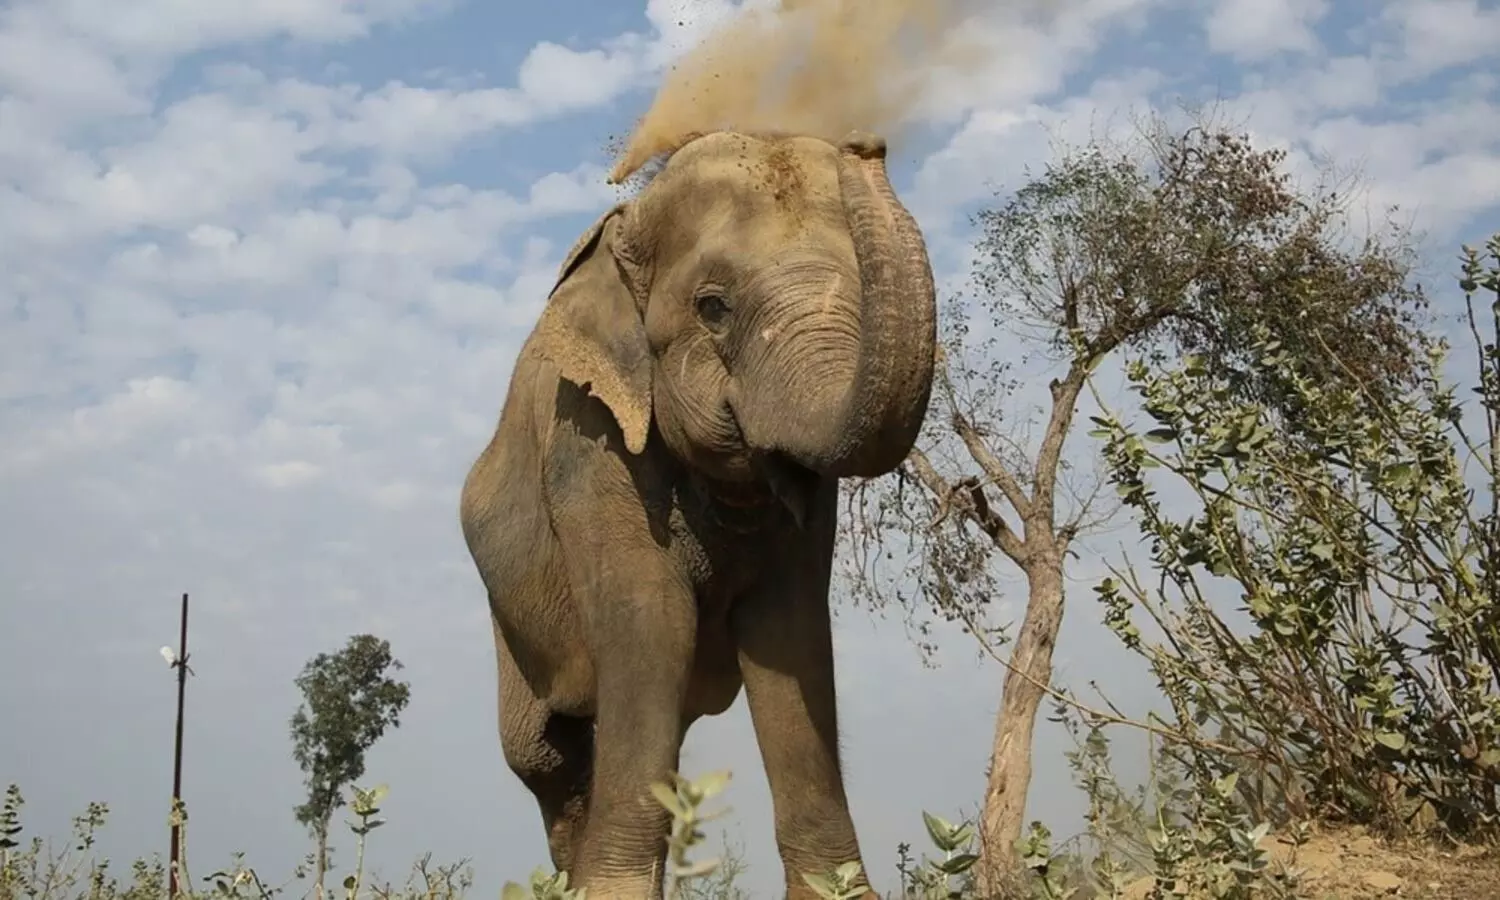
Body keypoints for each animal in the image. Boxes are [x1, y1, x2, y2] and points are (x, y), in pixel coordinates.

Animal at [458, 128, 937, 899]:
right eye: (714, 307)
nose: (868, 144)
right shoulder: (589, 441)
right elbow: (652, 621)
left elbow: (788, 631)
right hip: (511, 626)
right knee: (545, 756)